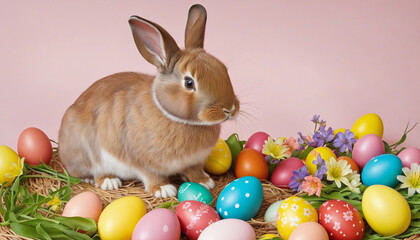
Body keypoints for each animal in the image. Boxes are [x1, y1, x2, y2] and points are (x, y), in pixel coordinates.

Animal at [58, 4, 240, 198]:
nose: (229, 109)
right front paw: (163, 189)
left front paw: (204, 181)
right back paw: (107, 181)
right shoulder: (141, 160)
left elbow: (194, 170)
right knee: (95, 170)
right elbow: (151, 175)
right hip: (91, 153)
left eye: (224, 69)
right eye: (189, 83)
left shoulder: (194, 162)